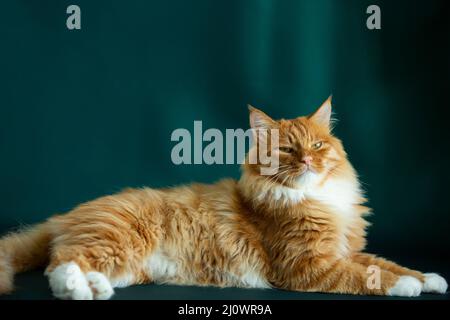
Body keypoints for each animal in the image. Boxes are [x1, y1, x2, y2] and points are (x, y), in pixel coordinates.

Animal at [0, 96, 446, 298]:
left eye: (318, 146)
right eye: (287, 150)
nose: (306, 160)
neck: (317, 200)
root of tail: (64, 215)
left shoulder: (346, 249)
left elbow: (385, 263)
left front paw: (429, 279)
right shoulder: (308, 265)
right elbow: (366, 276)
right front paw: (405, 287)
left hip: (126, 262)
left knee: (78, 266)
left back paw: (94, 287)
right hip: (117, 238)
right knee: (59, 265)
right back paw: (78, 288)